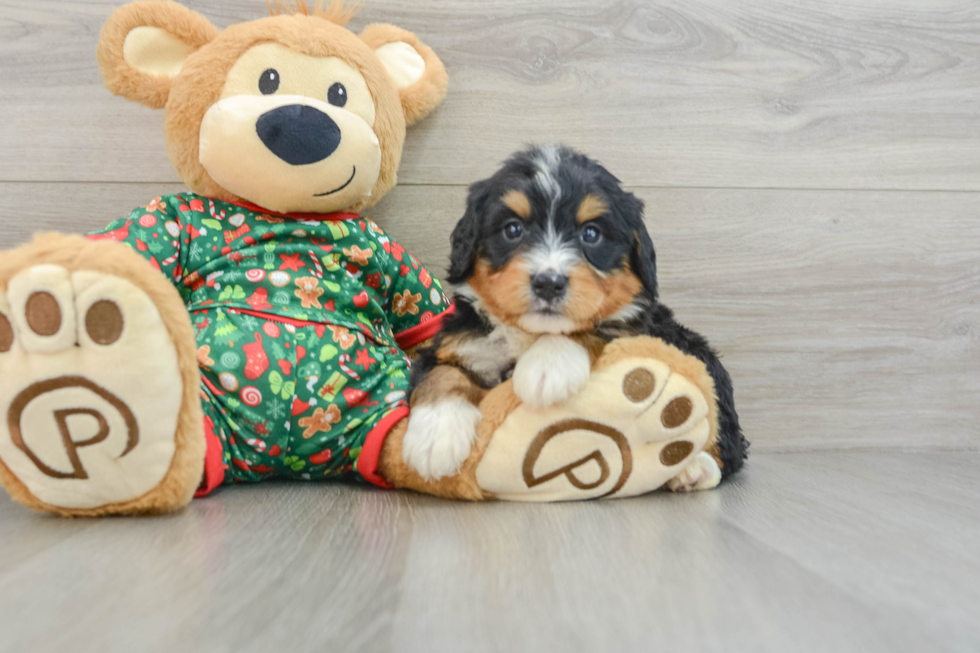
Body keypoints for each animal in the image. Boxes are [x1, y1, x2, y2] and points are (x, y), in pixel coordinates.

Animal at [402, 145, 748, 486]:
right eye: (513, 229)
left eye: (591, 234)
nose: (548, 283)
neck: (530, 333)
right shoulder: (457, 342)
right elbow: (442, 374)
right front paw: (435, 436)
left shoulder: (637, 330)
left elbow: (596, 329)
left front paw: (547, 367)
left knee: (725, 445)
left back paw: (691, 468)